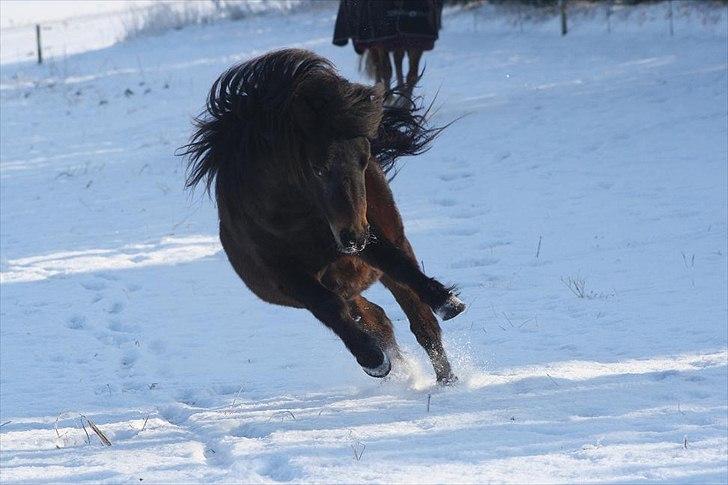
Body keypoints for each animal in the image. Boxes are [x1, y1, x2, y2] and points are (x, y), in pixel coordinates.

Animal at [182, 48, 466, 382]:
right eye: (318, 169)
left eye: (364, 159)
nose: (355, 237)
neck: (293, 218)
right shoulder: (287, 275)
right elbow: (328, 307)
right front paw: (373, 360)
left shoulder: (361, 235)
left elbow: (396, 263)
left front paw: (448, 302)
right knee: (374, 318)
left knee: (418, 319)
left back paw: (446, 379)